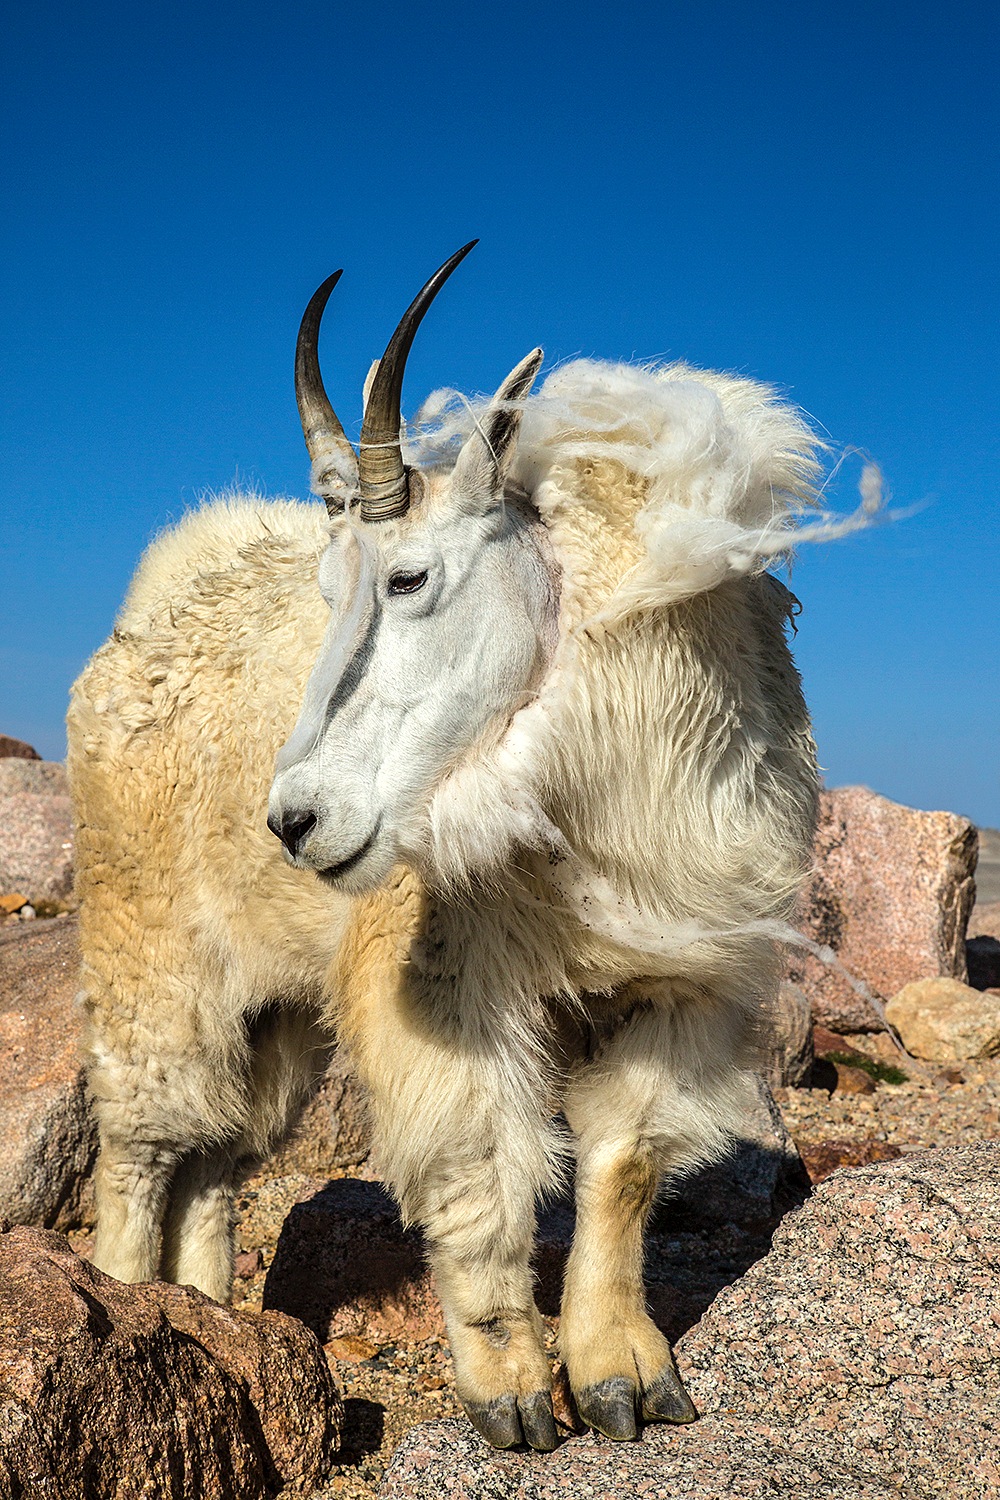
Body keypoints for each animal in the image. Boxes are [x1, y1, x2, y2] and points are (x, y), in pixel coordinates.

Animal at [68, 240, 863, 1446]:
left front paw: (624, 1378)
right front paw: (514, 1393)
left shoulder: (680, 977)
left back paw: (208, 1314)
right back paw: (129, 1305)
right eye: (329, 588)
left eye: (407, 576)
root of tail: (136, 629)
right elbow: (480, 1169)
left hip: (276, 1010)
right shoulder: (447, 986)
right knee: (143, 1146)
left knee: (219, 1157)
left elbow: (623, 1163)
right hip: (148, 960)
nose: (295, 819)